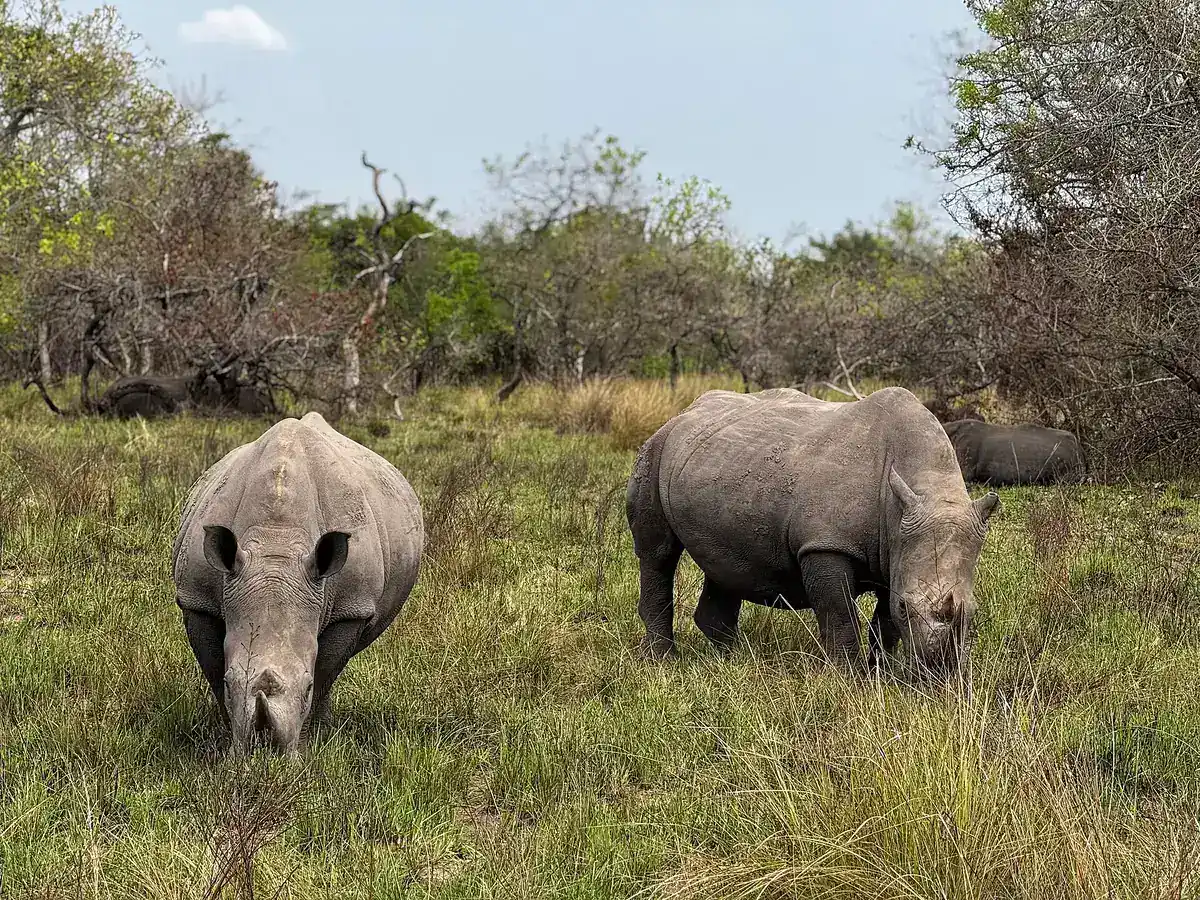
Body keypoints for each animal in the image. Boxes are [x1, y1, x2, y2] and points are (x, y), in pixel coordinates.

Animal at [171, 412, 423, 753]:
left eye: (306, 687)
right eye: (229, 683)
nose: (265, 754)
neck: (277, 543)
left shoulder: (351, 607)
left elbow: (326, 671)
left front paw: (307, 743)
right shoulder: (198, 600)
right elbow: (212, 667)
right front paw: (227, 737)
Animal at [626, 387, 1000, 676]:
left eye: (974, 611)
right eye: (907, 607)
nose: (940, 670)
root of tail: (683, 412)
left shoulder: (895, 551)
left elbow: (884, 623)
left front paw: (880, 674)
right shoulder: (825, 545)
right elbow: (839, 614)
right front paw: (848, 678)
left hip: (716, 467)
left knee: (724, 560)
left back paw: (732, 660)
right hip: (655, 450)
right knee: (658, 554)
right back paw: (664, 661)